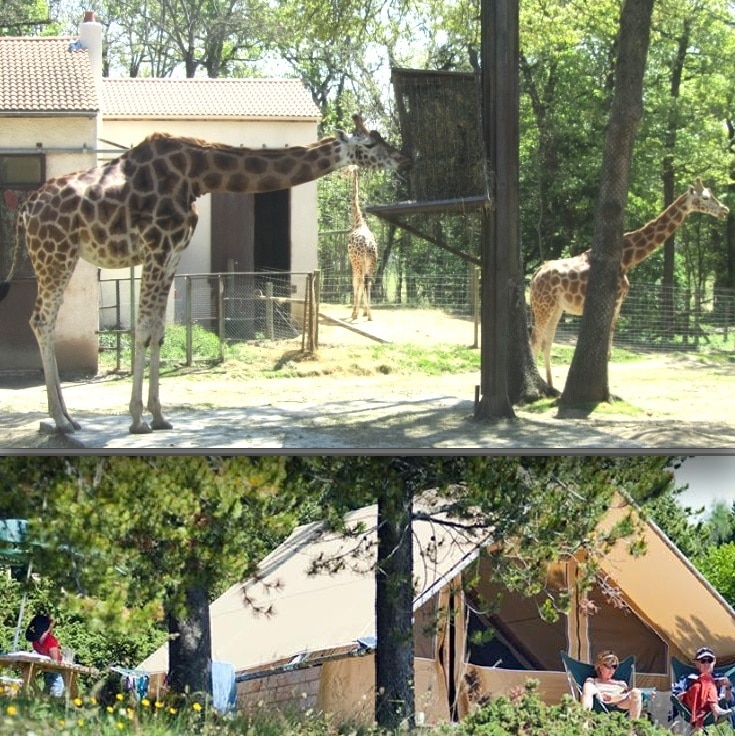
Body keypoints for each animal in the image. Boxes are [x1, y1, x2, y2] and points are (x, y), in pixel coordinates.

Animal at [0, 113, 412, 432]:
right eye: (370, 144)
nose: (402, 159)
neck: (196, 175)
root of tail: (25, 210)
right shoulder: (156, 248)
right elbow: (142, 329)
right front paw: (137, 419)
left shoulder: (171, 254)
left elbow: (158, 331)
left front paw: (159, 416)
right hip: (55, 254)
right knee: (41, 320)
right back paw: (61, 420)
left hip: (62, 257)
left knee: (47, 320)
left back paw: (68, 418)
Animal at [528, 178, 732, 388]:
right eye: (705, 197)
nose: (725, 210)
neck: (626, 259)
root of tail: (535, 275)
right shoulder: (615, 300)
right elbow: (608, 348)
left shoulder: (618, 304)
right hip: (543, 305)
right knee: (535, 339)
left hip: (556, 307)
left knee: (546, 341)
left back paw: (549, 384)